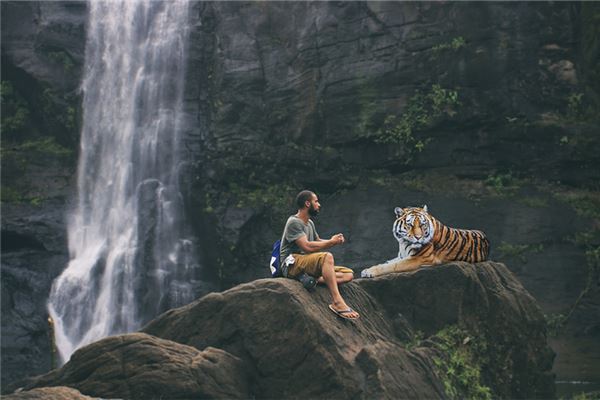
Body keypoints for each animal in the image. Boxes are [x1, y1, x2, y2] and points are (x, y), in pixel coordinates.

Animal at [360, 206, 488, 278]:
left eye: (422, 224)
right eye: (410, 225)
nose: (418, 237)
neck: (403, 242)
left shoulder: (418, 258)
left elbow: (391, 266)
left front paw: (368, 272)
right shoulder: (402, 256)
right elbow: (386, 262)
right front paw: (367, 269)